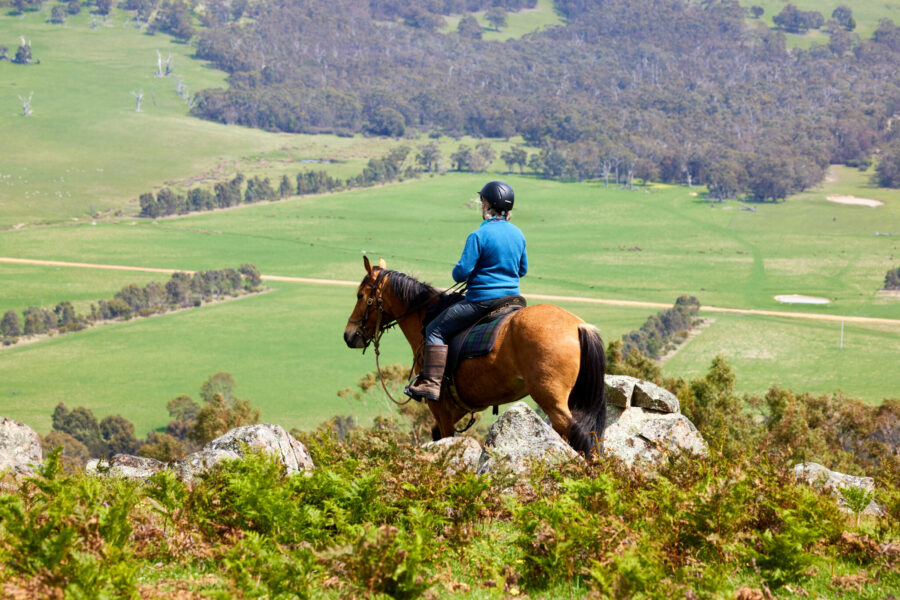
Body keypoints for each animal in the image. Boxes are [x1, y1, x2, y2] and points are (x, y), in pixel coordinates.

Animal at [343, 256, 607, 456]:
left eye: (360, 296)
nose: (349, 335)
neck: (425, 317)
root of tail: (578, 326)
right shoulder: (457, 408)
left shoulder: (441, 409)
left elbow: (444, 437)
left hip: (552, 400)